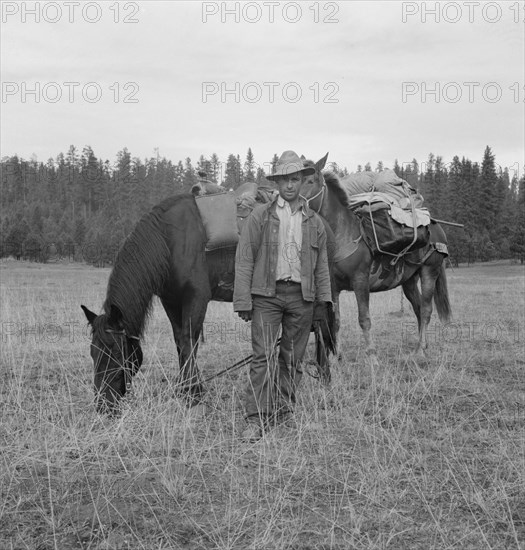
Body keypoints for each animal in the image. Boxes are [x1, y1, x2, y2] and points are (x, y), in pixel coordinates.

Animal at [82, 194, 336, 414]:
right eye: (93, 352)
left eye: (116, 352)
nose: (103, 404)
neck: (169, 240)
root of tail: (324, 225)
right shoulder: (171, 300)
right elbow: (179, 341)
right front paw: (186, 388)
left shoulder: (196, 298)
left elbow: (189, 341)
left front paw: (192, 392)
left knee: (321, 330)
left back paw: (324, 378)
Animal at [300, 155, 452, 358]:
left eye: (309, 181)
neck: (342, 234)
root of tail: (436, 228)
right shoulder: (333, 286)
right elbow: (336, 320)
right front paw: (337, 356)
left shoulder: (360, 282)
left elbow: (364, 319)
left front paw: (372, 355)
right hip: (409, 281)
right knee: (419, 307)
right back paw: (422, 345)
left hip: (429, 272)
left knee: (426, 310)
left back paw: (420, 350)